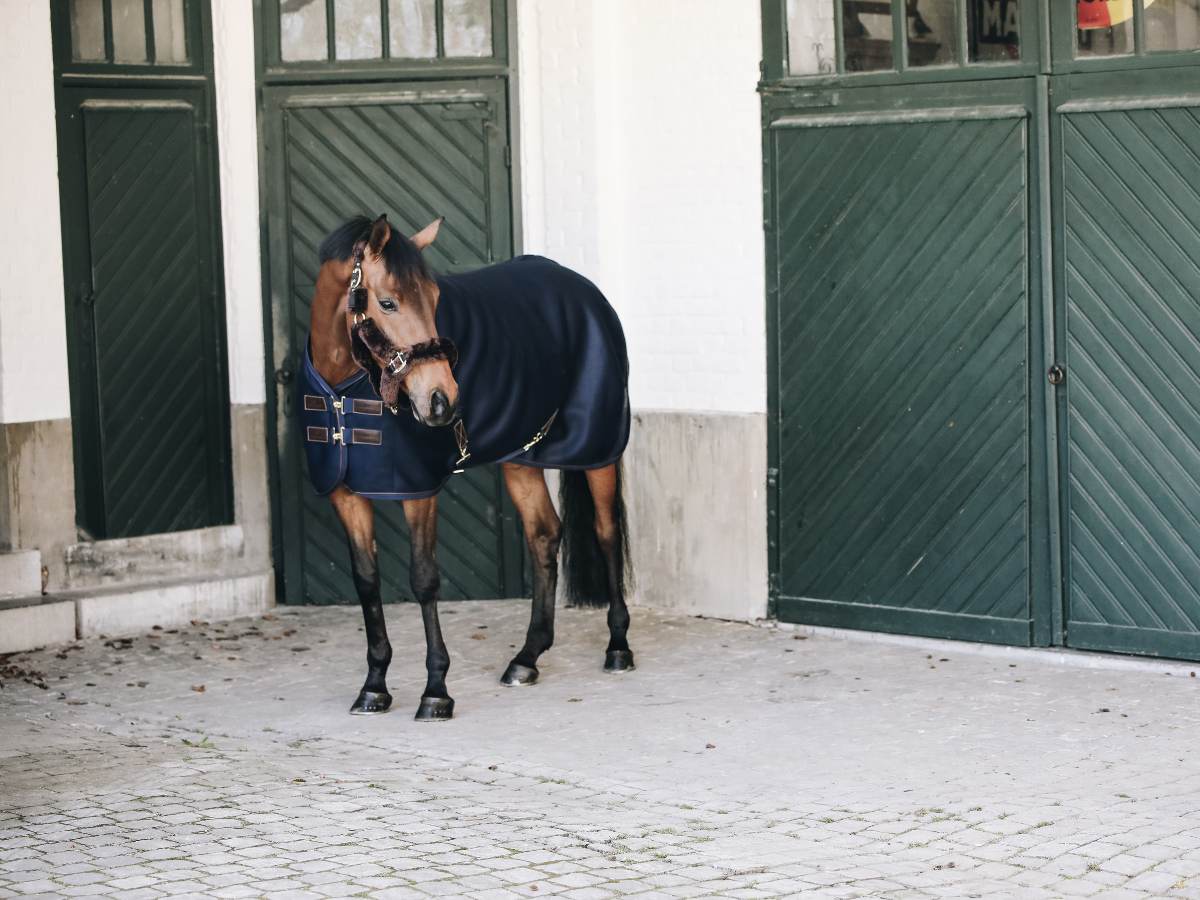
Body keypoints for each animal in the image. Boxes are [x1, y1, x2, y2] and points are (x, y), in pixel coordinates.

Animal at [298, 213, 634, 720]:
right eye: (387, 302)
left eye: (437, 299)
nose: (443, 402)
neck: (342, 387)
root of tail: (585, 289)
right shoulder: (345, 494)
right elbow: (367, 582)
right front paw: (374, 685)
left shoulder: (417, 492)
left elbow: (424, 580)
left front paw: (435, 690)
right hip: (521, 458)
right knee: (544, 534)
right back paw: (526, 658)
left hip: (599, 450)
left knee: (606, 531)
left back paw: (617, 647)